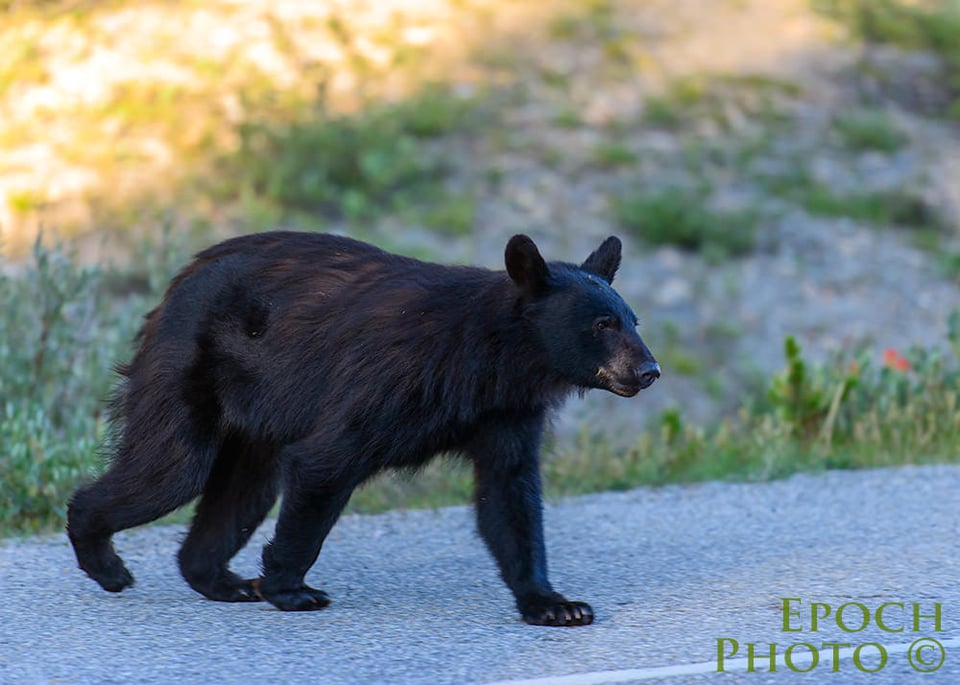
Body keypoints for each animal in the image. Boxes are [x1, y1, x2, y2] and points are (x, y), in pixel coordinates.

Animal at [63, 231, 656, 624]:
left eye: (633, 320)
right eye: (602, 324)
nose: (649, 370)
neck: (491, 359)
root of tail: (175, 283)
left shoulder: (505, 413)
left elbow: (510, 496)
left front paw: (556, 604)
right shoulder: (389, 379)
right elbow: (327, 460)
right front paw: (291, 589)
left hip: (253, 414)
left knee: (245, 489)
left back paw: (221, 581)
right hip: (189, 366)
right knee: (170, 469)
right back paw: (106, 563)